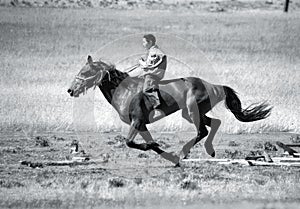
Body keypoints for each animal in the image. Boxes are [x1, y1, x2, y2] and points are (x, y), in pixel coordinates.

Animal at [67, 54, 272, 166]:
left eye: (85, 72)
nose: (70, 90)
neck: (125, 90)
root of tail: (213, 86)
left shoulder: (137, 122)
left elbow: (130, 142)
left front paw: (166, 152)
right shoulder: (142, 125)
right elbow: (149, 144)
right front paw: (167, 155)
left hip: (192, 112)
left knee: (202, 131)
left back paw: (184, 152)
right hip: (195, 113)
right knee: (214, 123)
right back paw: (209, 150)